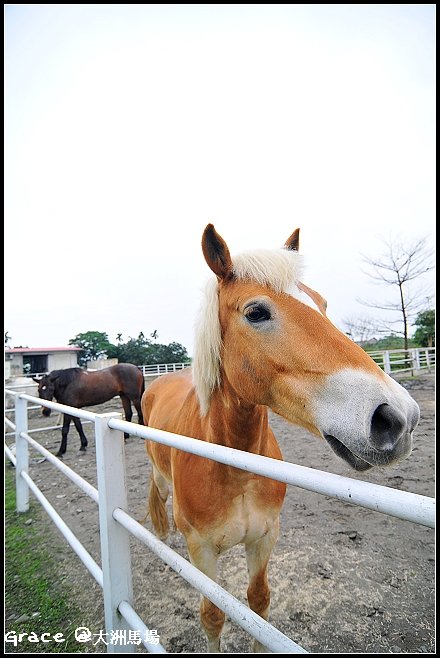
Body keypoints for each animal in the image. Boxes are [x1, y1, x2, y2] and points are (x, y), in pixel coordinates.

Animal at [143, 223, 422, 648]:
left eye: (322, 303)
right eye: (255, 312)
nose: (397, 417)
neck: (233, 468)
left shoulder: (264, 538)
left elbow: (259, 605)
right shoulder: (201, 549)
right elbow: (212, 616)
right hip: (160, 478)